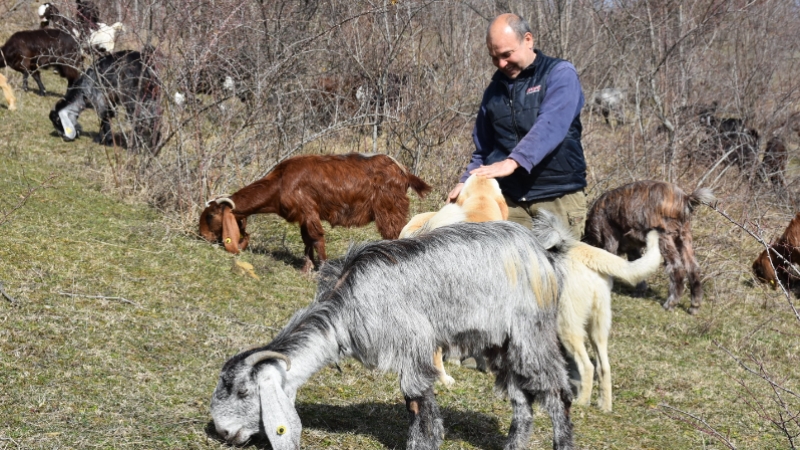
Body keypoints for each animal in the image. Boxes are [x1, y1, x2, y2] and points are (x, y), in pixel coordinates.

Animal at [198, 153, 432, 270]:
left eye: (210, 215)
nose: (204, 236)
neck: (280, 182)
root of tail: (403, 172)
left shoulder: (308, 210)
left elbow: (317, 238)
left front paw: (322, 268)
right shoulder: (303, 216)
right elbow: (307, 241)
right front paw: (307, 268)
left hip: (389, 210)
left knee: (396, 234)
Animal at [209, 220, 576, 448]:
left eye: (243, 391)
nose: (224, 431)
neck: (345, 307)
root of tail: (543, 252)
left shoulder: (414, 347)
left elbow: (418, 403)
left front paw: (425, 443)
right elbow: (412, 402)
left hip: (531, 332)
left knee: (556, 391)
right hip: (500, 344)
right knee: (521, 398)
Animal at [580, 179, 712, 312]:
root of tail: (685, 199)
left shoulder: (610, 239)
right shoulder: (632, 246)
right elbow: (636, 264)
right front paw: (639, 291)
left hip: (663, 236)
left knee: (677, 267)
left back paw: (670, 304)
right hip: (684, 236)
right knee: (693, 268)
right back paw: (694, 306)